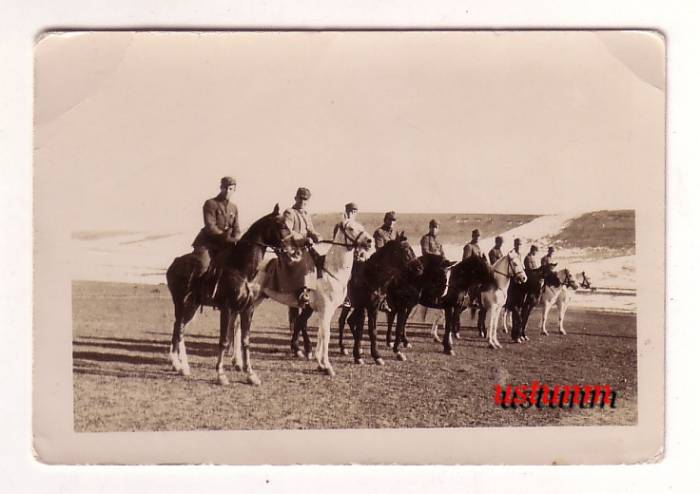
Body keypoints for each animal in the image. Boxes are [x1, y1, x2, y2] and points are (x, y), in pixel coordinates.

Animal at [165, 205, 292, 386]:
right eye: (282, 226)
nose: (293, 250)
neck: (240, 269)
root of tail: (174, 263)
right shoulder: (227, 309)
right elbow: (224, 341)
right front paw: (221, 374)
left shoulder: (248, 310)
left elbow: (245, 341)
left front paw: (250, 374)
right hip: (182, 303)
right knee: (180, 329)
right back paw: (183, 367)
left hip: (191, 306)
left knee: (178, 327)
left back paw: (177, 364)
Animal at [231, 217, 372, 382]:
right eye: (351, 228)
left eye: (361, 226)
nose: (369, 241)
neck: (330, 271)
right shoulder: (326, 310)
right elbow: (326, 335)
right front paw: (327, 366)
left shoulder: (323, 311)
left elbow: (320, 334)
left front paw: (320, 364)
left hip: (256, 300)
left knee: (238, 326)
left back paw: (237, 362)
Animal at [344, 233, 422, 364]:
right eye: (405, 250)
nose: (420, 268)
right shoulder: (362, 307)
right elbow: (361, 330)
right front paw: (358, 357)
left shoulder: (375, 308)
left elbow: (376, 331)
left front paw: (380, 355)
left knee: (349, 321)